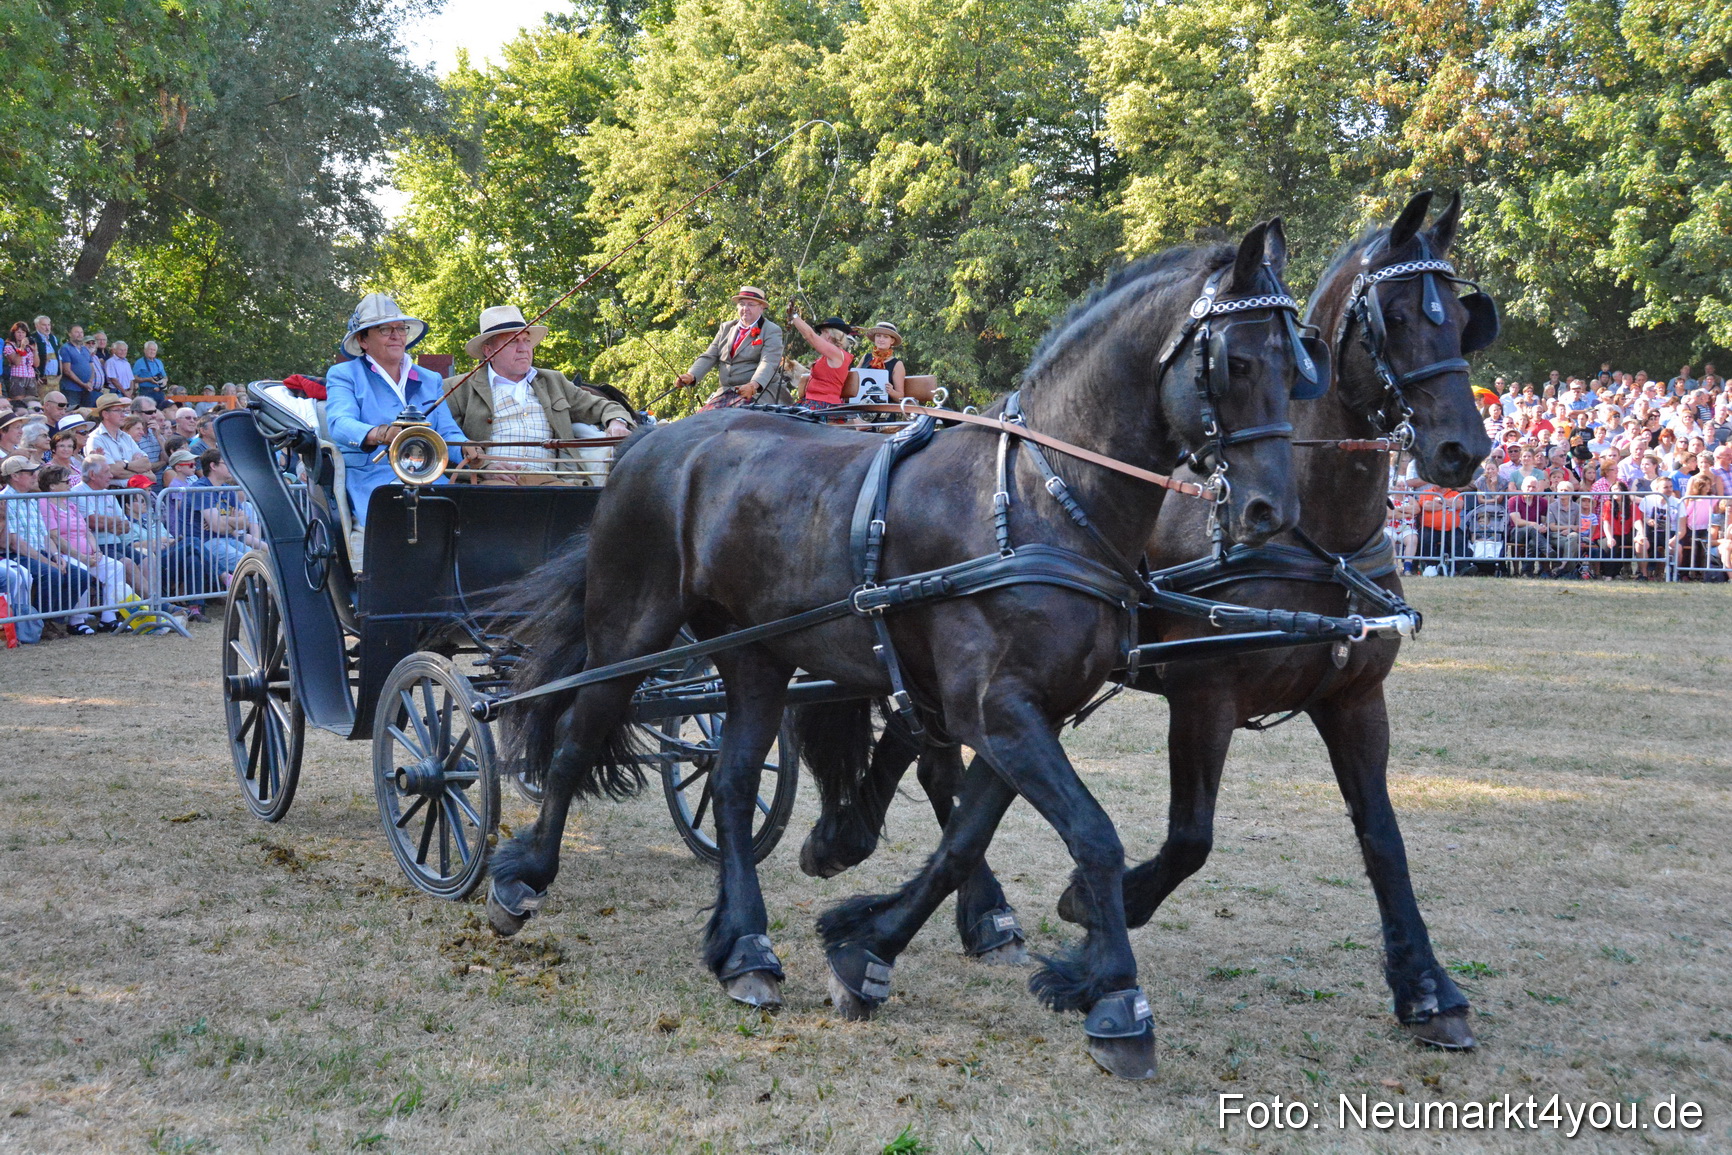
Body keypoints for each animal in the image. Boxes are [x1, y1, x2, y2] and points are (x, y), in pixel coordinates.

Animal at [486, 221, 1317, 1079]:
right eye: (1235, 361)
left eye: (1299, 364)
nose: (1271, 511)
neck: (1039, 499)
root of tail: (648, 439)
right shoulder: (997, 711)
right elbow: (1093, 835)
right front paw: (1119, 999)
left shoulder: (1026, 715)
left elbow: (961, 840)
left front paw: (868, 949)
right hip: (632, 627)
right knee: (575, 740)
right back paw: (523, 881)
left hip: (756, 656)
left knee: (731, 781)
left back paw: (745, 945)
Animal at [796, 190, 1498, 1052]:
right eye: (1393, 317)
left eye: (1460, 321)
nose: (1462, 448)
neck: (1317, 533)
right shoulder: (1203, 695)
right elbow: (1190, 837)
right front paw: (1095, 922)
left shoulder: (1354, 698)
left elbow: (1384, 840)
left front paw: (1428, 985)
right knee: (930, 758)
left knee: (918, 749)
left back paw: (880, 859)